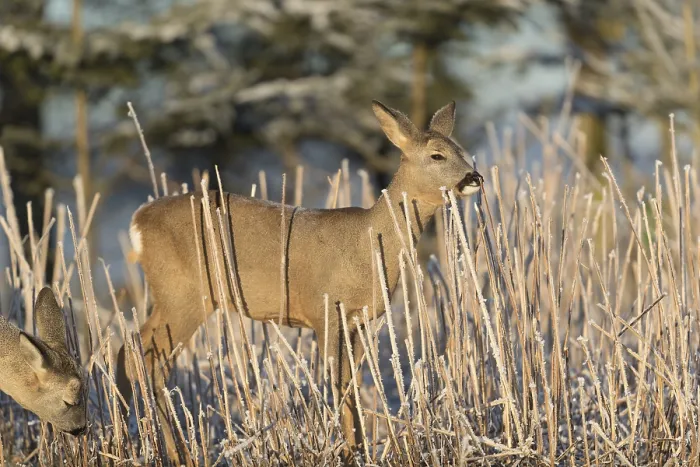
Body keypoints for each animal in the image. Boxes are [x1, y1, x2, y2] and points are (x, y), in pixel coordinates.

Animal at [116, 100, 483, 463]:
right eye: (437, 155)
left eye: (461, 150)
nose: (474, 177)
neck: (368, 241)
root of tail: (136, 222)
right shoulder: (327, 310)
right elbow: (337, 384)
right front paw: (348, 451)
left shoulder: (358, 321)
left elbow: (353, 384)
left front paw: (359, 447)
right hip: (183, 295)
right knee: (146, 359)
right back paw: (173, 452)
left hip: (173, 297)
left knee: (129, 349)